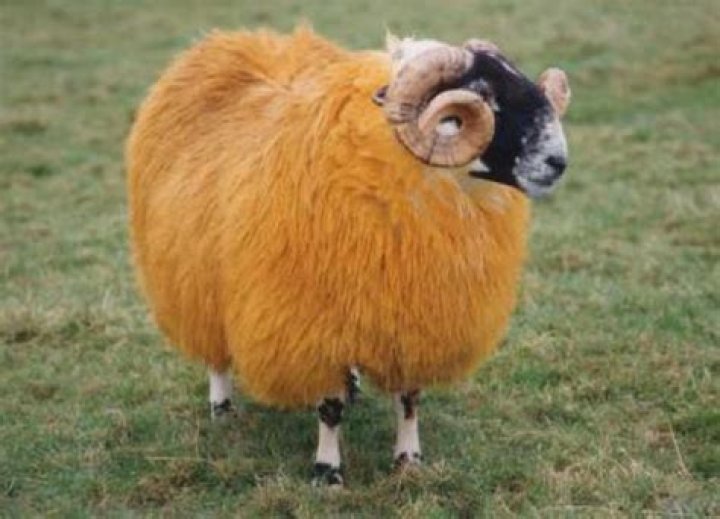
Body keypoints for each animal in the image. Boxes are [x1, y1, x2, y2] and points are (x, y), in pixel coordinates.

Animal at [126, 26, 570, 486]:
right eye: (483, 95)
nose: (557, 161)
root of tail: (226, 44)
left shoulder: (414, 320)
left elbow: (409, 397)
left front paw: (408, 459)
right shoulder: (312, 323)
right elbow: (329, 406)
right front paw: (328, 472)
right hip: (193, 269)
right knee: (211, 344)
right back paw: (222, 407)